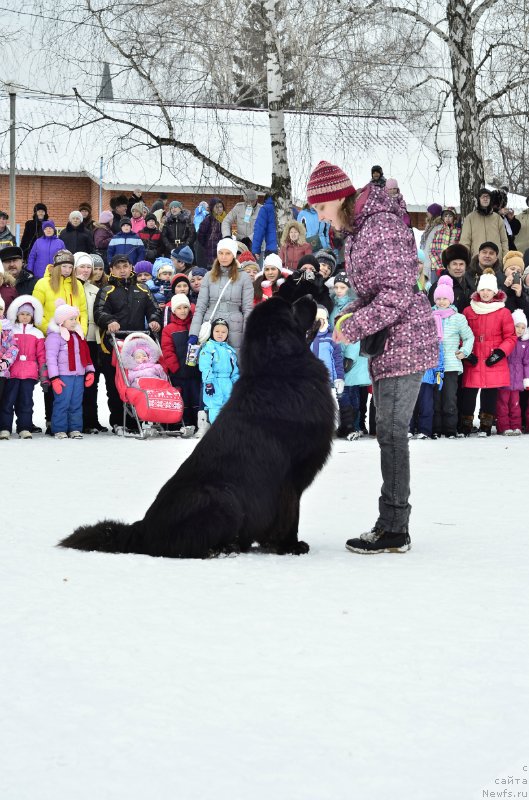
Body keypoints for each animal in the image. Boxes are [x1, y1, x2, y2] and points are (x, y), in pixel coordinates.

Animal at [58, 296, 334, 560]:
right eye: (291, 307)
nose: (311, 296)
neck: (279, 370)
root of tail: (142, 529)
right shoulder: (290, 479)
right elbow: (290, 515)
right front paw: (290, 546)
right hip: (223, 498)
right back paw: (223, 549)